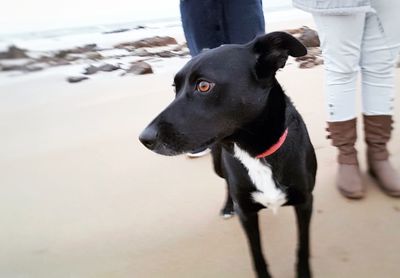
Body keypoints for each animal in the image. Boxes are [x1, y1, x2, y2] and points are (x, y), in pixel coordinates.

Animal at [139, 32, 318, 278]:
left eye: (204, 85)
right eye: (175, 88)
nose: (144, 138)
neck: (256, 153)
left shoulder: (305, 202)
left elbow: (303, 247)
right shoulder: (247, 214)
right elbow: (257, 255)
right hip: (218, 165)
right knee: (226, 183)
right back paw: (227, 206)